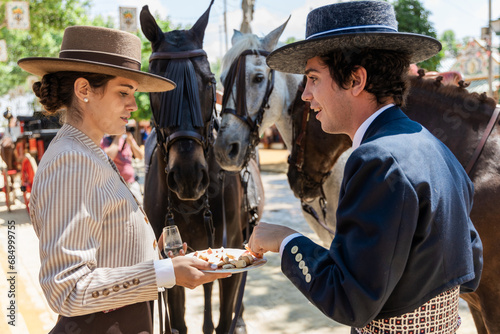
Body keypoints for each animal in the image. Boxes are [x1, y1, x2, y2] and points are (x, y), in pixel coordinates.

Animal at [139, 1, 260, 332]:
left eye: (209, 82)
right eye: (158, 89)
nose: (189, 177)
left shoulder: (229, 247)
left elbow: (224, 312)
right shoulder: (173, 256)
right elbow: (178, 321)